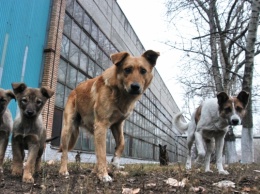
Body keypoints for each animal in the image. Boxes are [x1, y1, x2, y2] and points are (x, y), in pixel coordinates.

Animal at [59, 49, 159, 181]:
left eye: (143, 71)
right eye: (127, 69)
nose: (135, 87)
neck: (120, 93)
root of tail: (74, 90)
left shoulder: (117, 125)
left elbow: (121, 143)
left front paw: (115, 161)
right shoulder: (102, 125)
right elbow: (102, 154)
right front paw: (104, 175)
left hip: (93, 130)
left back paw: (94, 171)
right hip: (68, 128)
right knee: (65, 152)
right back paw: (64, 171)